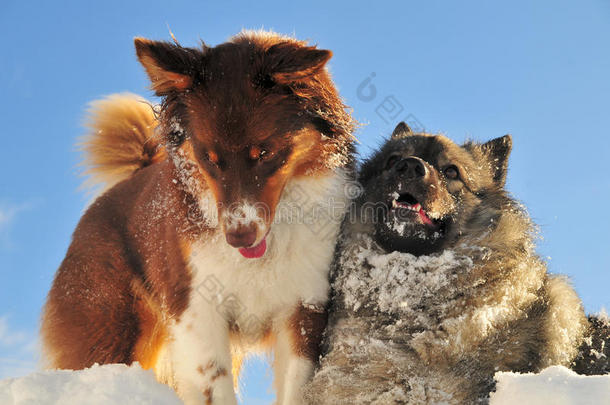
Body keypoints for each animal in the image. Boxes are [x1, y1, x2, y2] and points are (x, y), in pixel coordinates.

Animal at [40, 30, 354, 402]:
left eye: (264, 152)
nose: (239, 236)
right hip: (109, 335)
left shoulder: (303, 308)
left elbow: (296, 388)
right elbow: (213, 387)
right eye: (210, 158)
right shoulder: (198, 312)